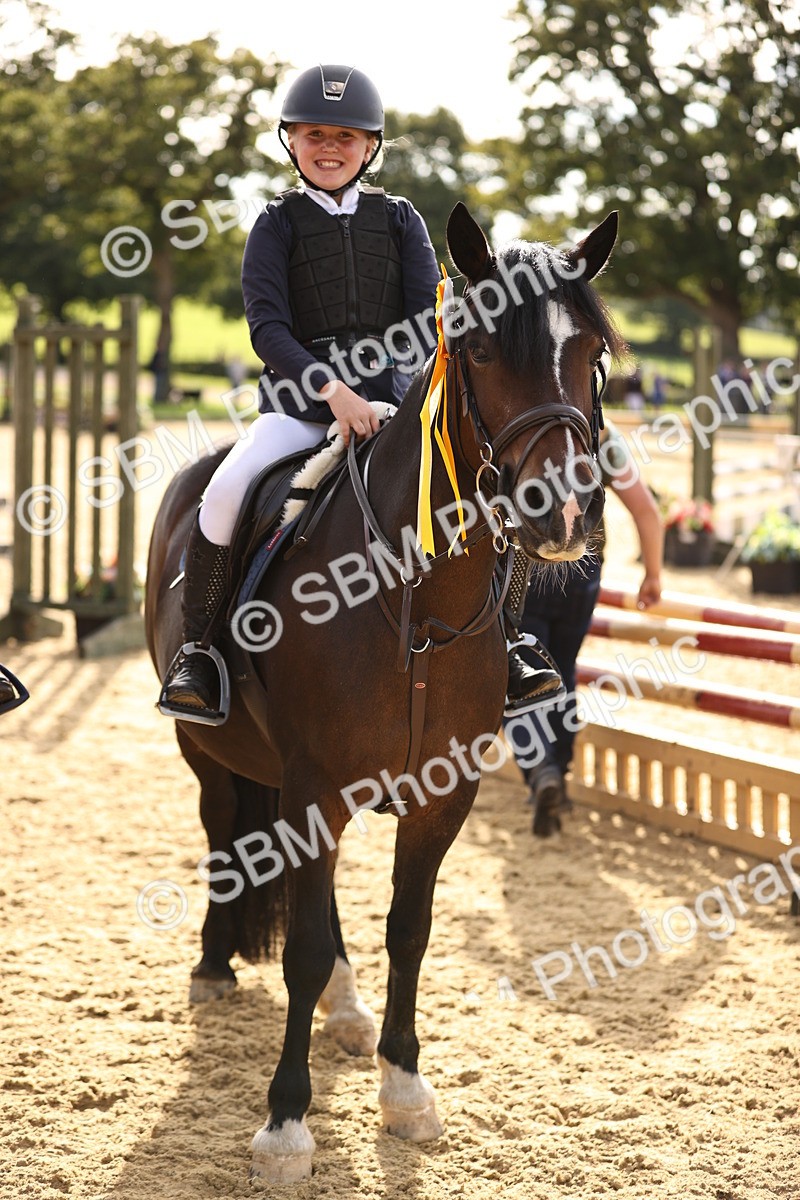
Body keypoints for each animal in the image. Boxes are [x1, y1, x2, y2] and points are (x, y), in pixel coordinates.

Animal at [145, 201, 624, 1185]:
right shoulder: (313, 787)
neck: (416, 601)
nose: (561, 512)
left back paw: (349, 1007)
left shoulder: (440, 794)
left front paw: (403, 1088)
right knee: (226, 831)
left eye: (593, 352)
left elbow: (409, 929)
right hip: (210, 752)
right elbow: (299, 947)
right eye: (479, 350)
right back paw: (214, 967)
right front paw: (286, 1123)